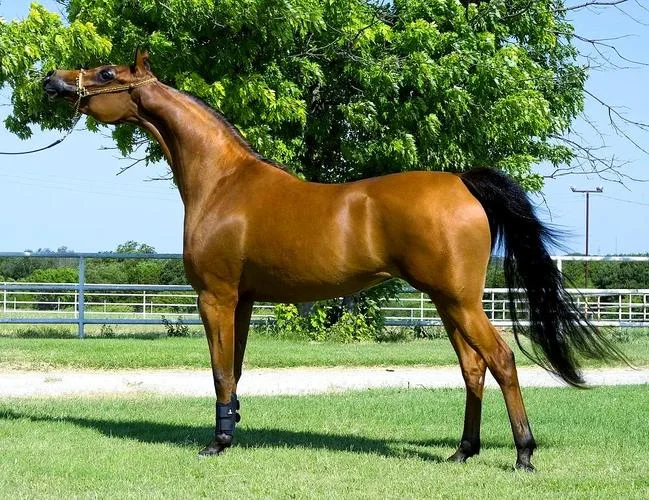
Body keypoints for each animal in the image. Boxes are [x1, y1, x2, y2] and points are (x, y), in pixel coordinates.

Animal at [44, 49, 623, 471]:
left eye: (106, 72)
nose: (52, 80)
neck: (223, 183)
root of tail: (461, 181)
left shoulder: (217, 297)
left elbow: (220, 370)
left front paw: (216, 443)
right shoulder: (245, 300)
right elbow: (236, 370)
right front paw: (231, 431)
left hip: (460, 300)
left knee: (500, 361)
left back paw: (523, 454)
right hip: (447, 302)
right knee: (472, 367)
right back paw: (462, 451)